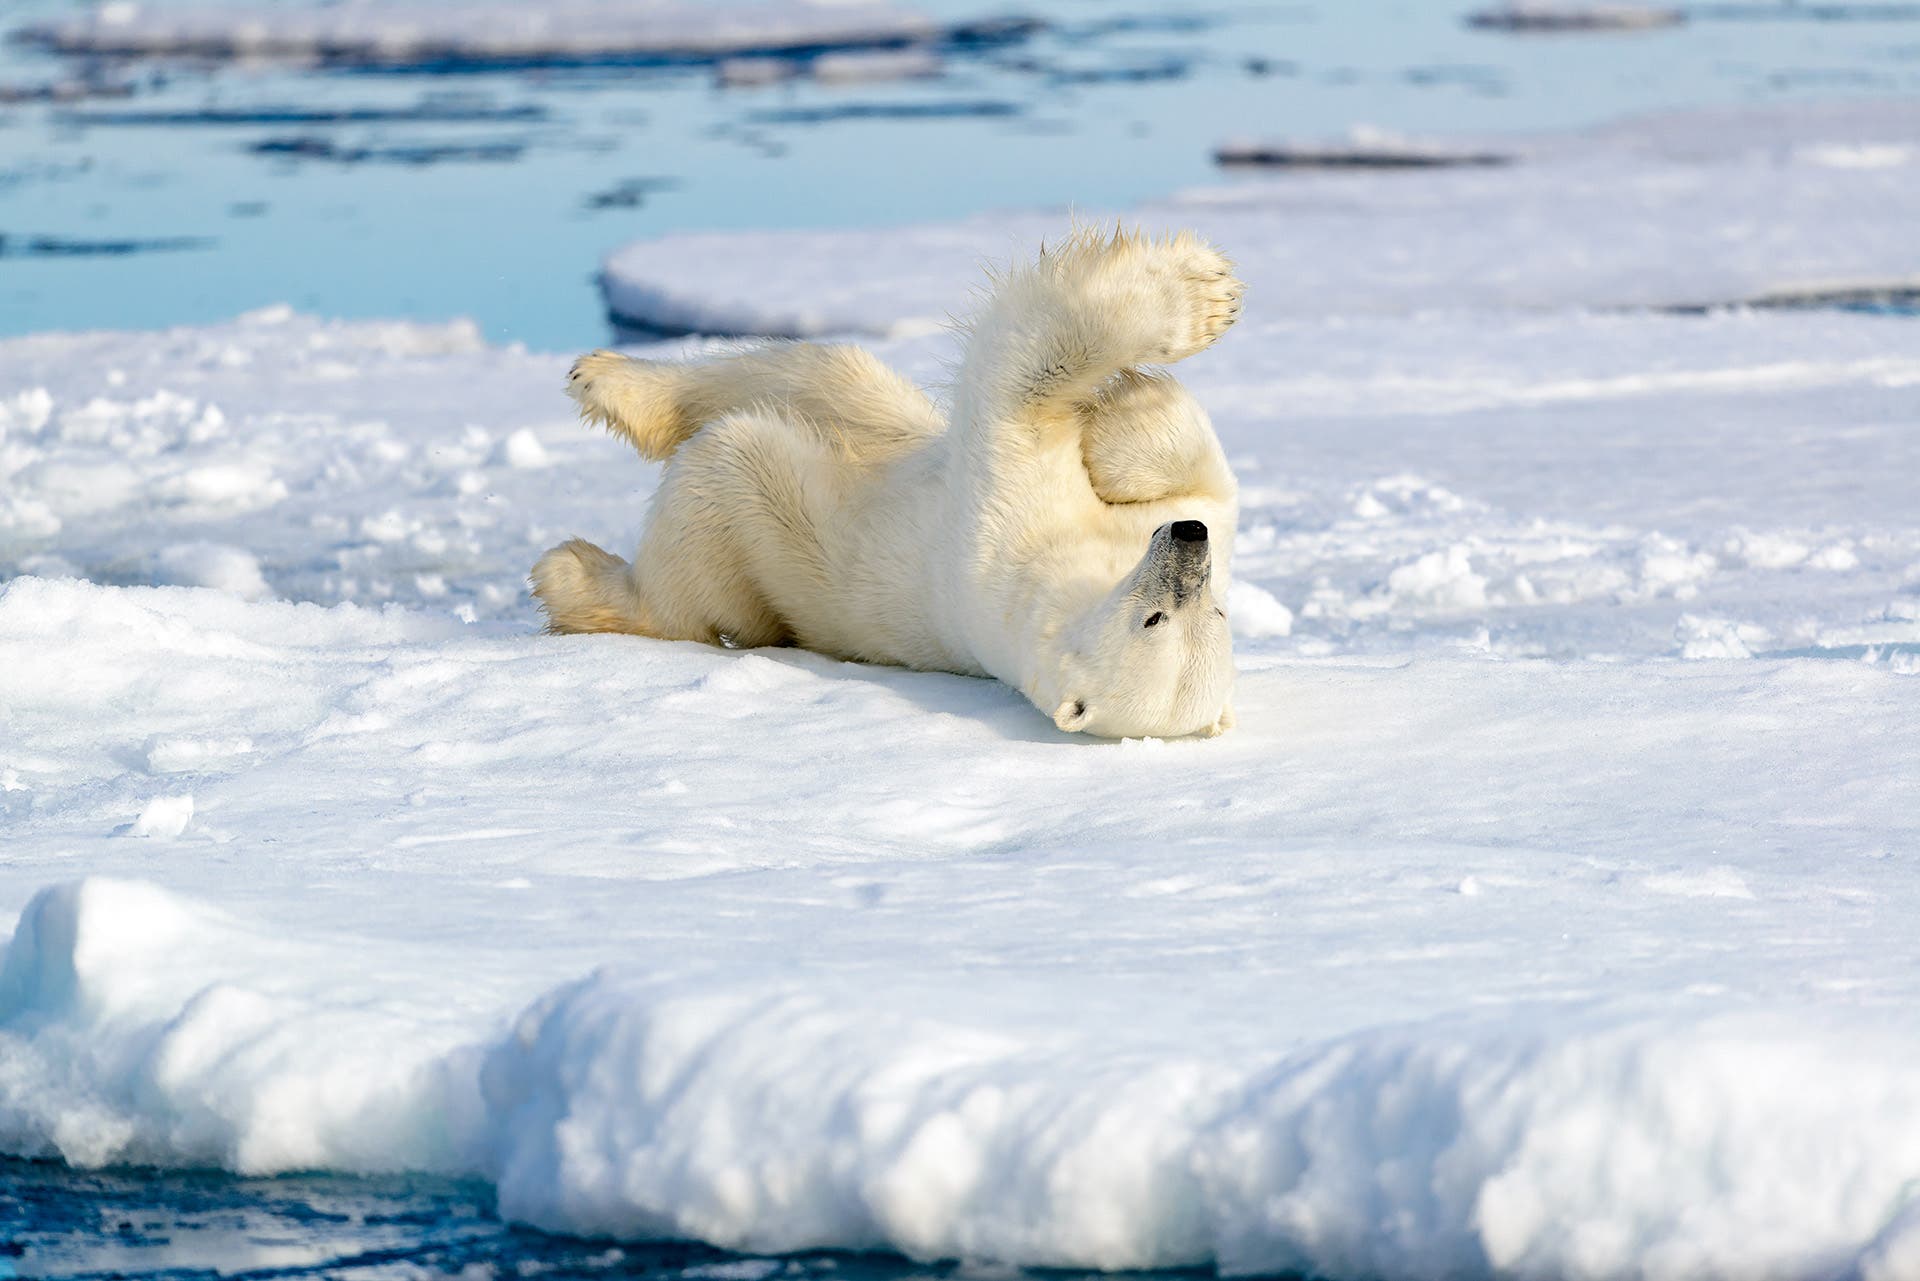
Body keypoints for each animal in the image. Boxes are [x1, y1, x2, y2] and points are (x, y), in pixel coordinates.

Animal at [530, 226, 1244, 738]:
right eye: (1213, 608)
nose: (1187, 539)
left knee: (724, 476)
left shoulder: (1009, 534)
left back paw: (571, 571)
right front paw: (1129, 407)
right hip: (888, 425)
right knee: (821, 370)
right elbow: (1194, 468)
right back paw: (604, 375)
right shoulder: (1170, 523)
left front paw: (1194, 303)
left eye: (1166, 617)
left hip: (790, 543)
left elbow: (1021, 376)